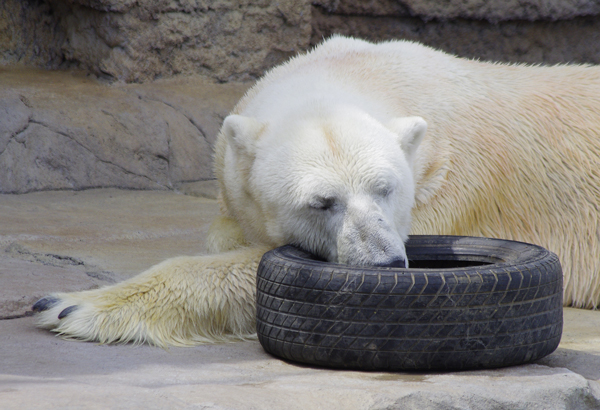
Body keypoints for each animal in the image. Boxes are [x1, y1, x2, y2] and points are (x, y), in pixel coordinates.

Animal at [32, 36, 600, 346]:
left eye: (386, 189)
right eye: (322, 203)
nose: (386, 267)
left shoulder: (445, 189)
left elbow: (253, 270)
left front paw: (69, 306)